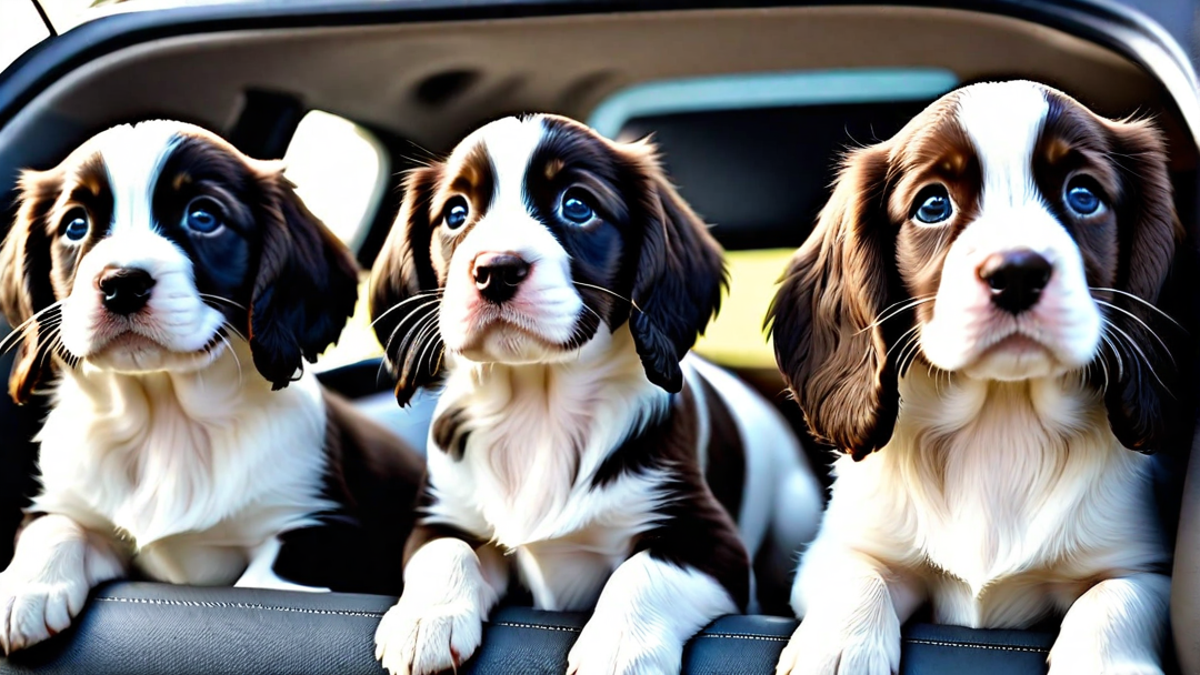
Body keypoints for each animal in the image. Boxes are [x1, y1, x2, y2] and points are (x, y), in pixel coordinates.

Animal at [0, 119, 427, 653]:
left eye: (203, 217)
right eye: (75, 226)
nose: (121, 283)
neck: (167, 421)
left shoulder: (322, 527)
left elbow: (262, 583)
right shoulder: (78, 503)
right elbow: (53, 522)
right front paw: (25, 588)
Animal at [369, 115, 820, 672]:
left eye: (577, 206)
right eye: (455, 214)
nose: (495, 270)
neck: (538, 408)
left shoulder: (710, 542)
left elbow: (641, 573)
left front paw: (619, 647)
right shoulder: (441, 514)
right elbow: (445, 550)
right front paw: (424, 619)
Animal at [763, 79, 1185, 672]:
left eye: (1084, 196)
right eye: (932, 204)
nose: (1017, 272)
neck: (1000, 419)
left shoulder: (1145, 563)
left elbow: (1111, 598)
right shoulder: (838, 548)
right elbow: (857, 574)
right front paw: (838, 649)